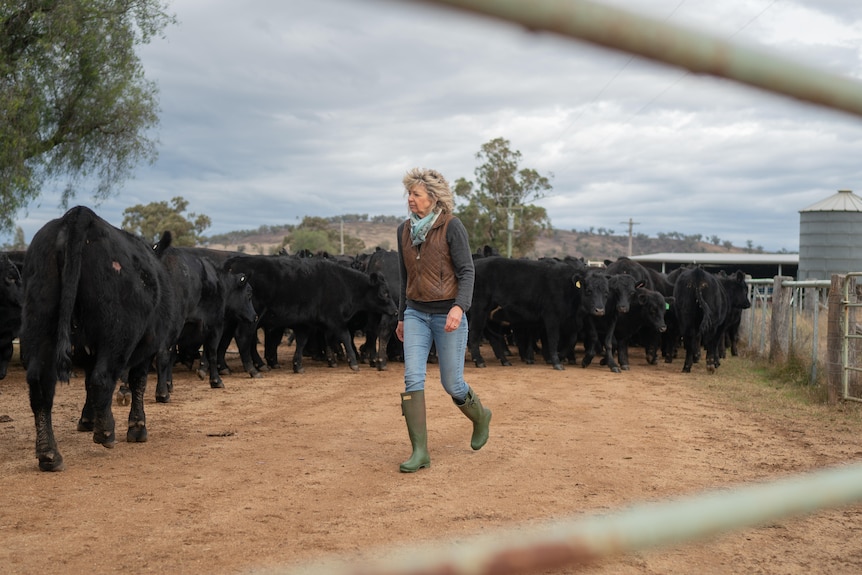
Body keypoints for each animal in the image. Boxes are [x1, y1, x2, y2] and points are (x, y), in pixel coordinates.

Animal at [20, 207, 177, 472]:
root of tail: (79, 215)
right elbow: (138, 382)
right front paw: (137, 427)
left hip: (40, 322)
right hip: (118, 332)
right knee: (102, 378)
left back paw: (49, 454)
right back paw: (106, 433)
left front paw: (87, 419)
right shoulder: (147, 344)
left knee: (41, 386)